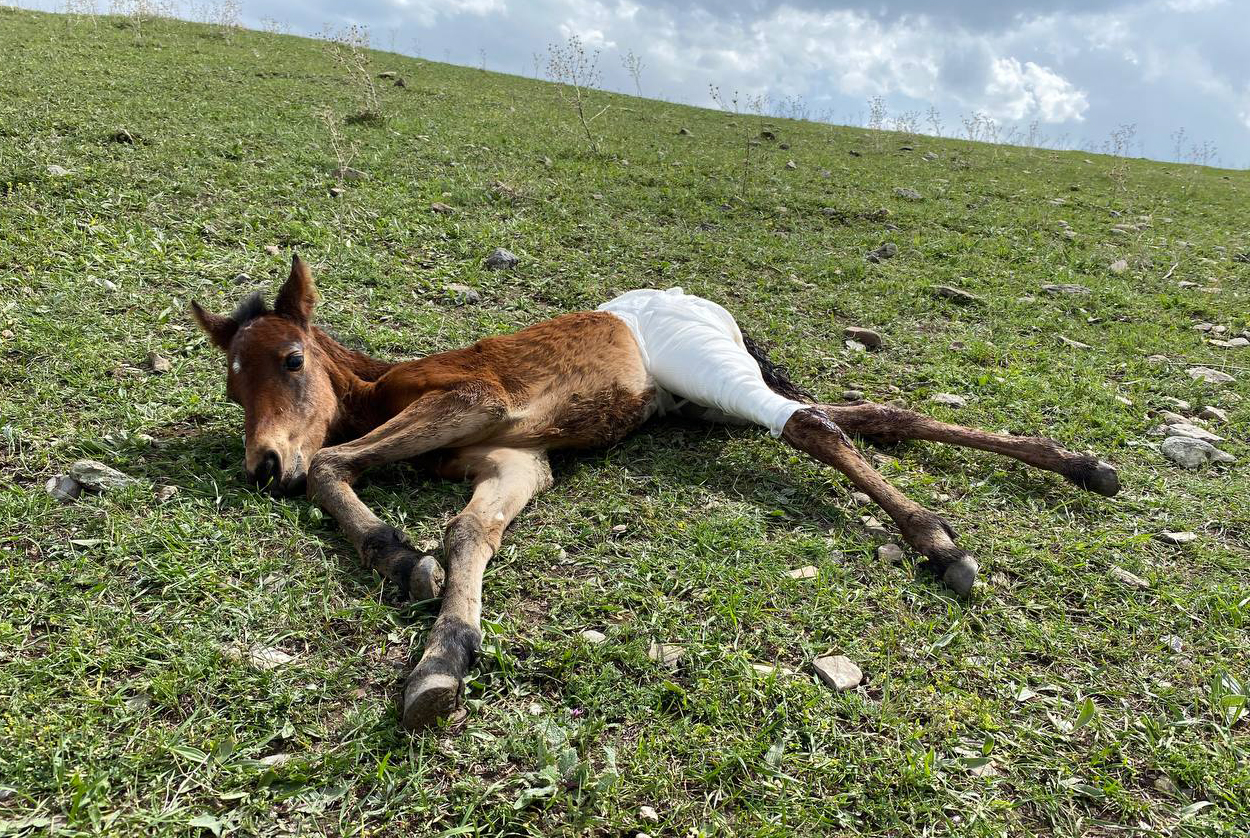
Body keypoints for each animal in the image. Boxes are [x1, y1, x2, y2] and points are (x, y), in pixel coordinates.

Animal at [195, 258, 1125, 730]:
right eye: (232, 386)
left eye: (290, 360)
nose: (262, 466)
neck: (385, 383)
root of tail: (695, 301)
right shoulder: (516, 461)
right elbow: (466, 536)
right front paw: (442, 655)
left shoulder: (475, 400)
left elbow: (333, 463)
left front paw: (393, 553)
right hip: (697, 401)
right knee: (866, 414)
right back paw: (1081, 465)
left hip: (704, 366)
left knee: (813, 427)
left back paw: (938, 541)